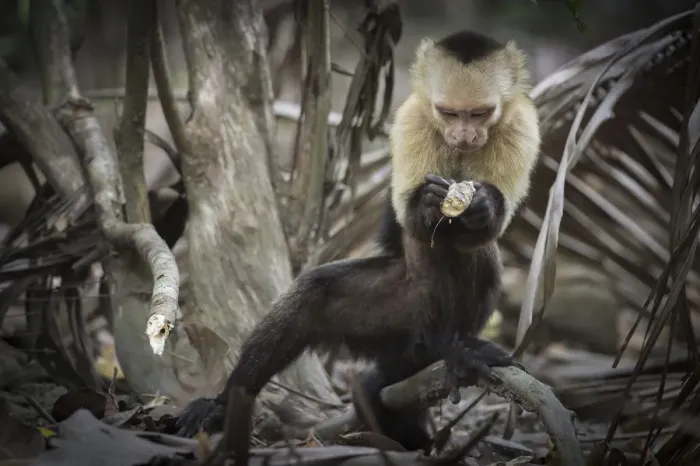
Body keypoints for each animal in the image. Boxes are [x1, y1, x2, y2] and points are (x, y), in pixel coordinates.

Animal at [175, 29, 541, 453]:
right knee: (313, 295)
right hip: (397, 317)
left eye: (479, 113)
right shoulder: (412, 118)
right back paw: (225, 402)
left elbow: (490, 225)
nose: (465, 134)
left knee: (474, 250)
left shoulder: (521, 123)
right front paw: (427, 202)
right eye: (449, 113)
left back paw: (458, 347)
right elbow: (411, 220)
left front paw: (482, 205)